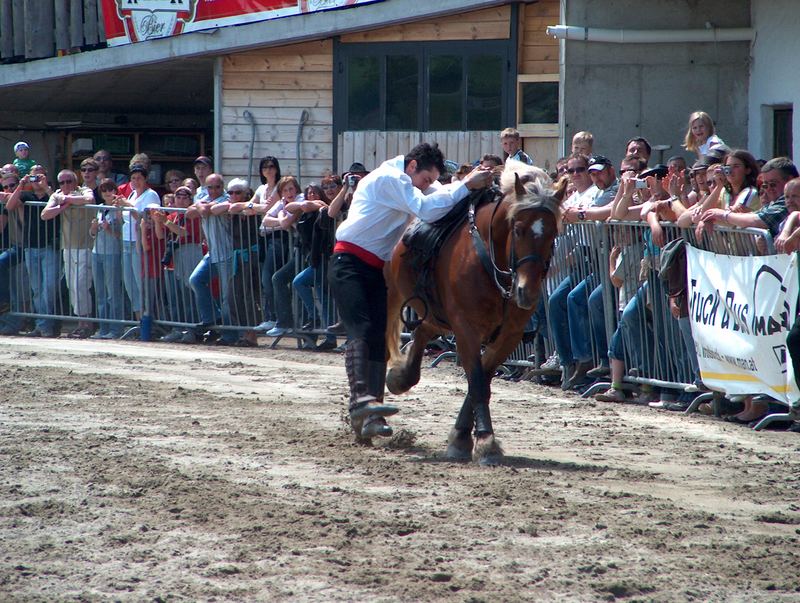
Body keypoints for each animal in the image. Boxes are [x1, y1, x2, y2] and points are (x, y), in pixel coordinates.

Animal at [386, 159, 564, 462]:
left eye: (553, 233)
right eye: (518, 229)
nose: (526, 292)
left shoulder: (509, 335)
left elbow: (482, 380)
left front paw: (462, 436)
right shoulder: (466, 328)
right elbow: (478, 381)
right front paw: (485, 440)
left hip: (437, 312)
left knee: (423, 331)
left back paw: (404, 375)